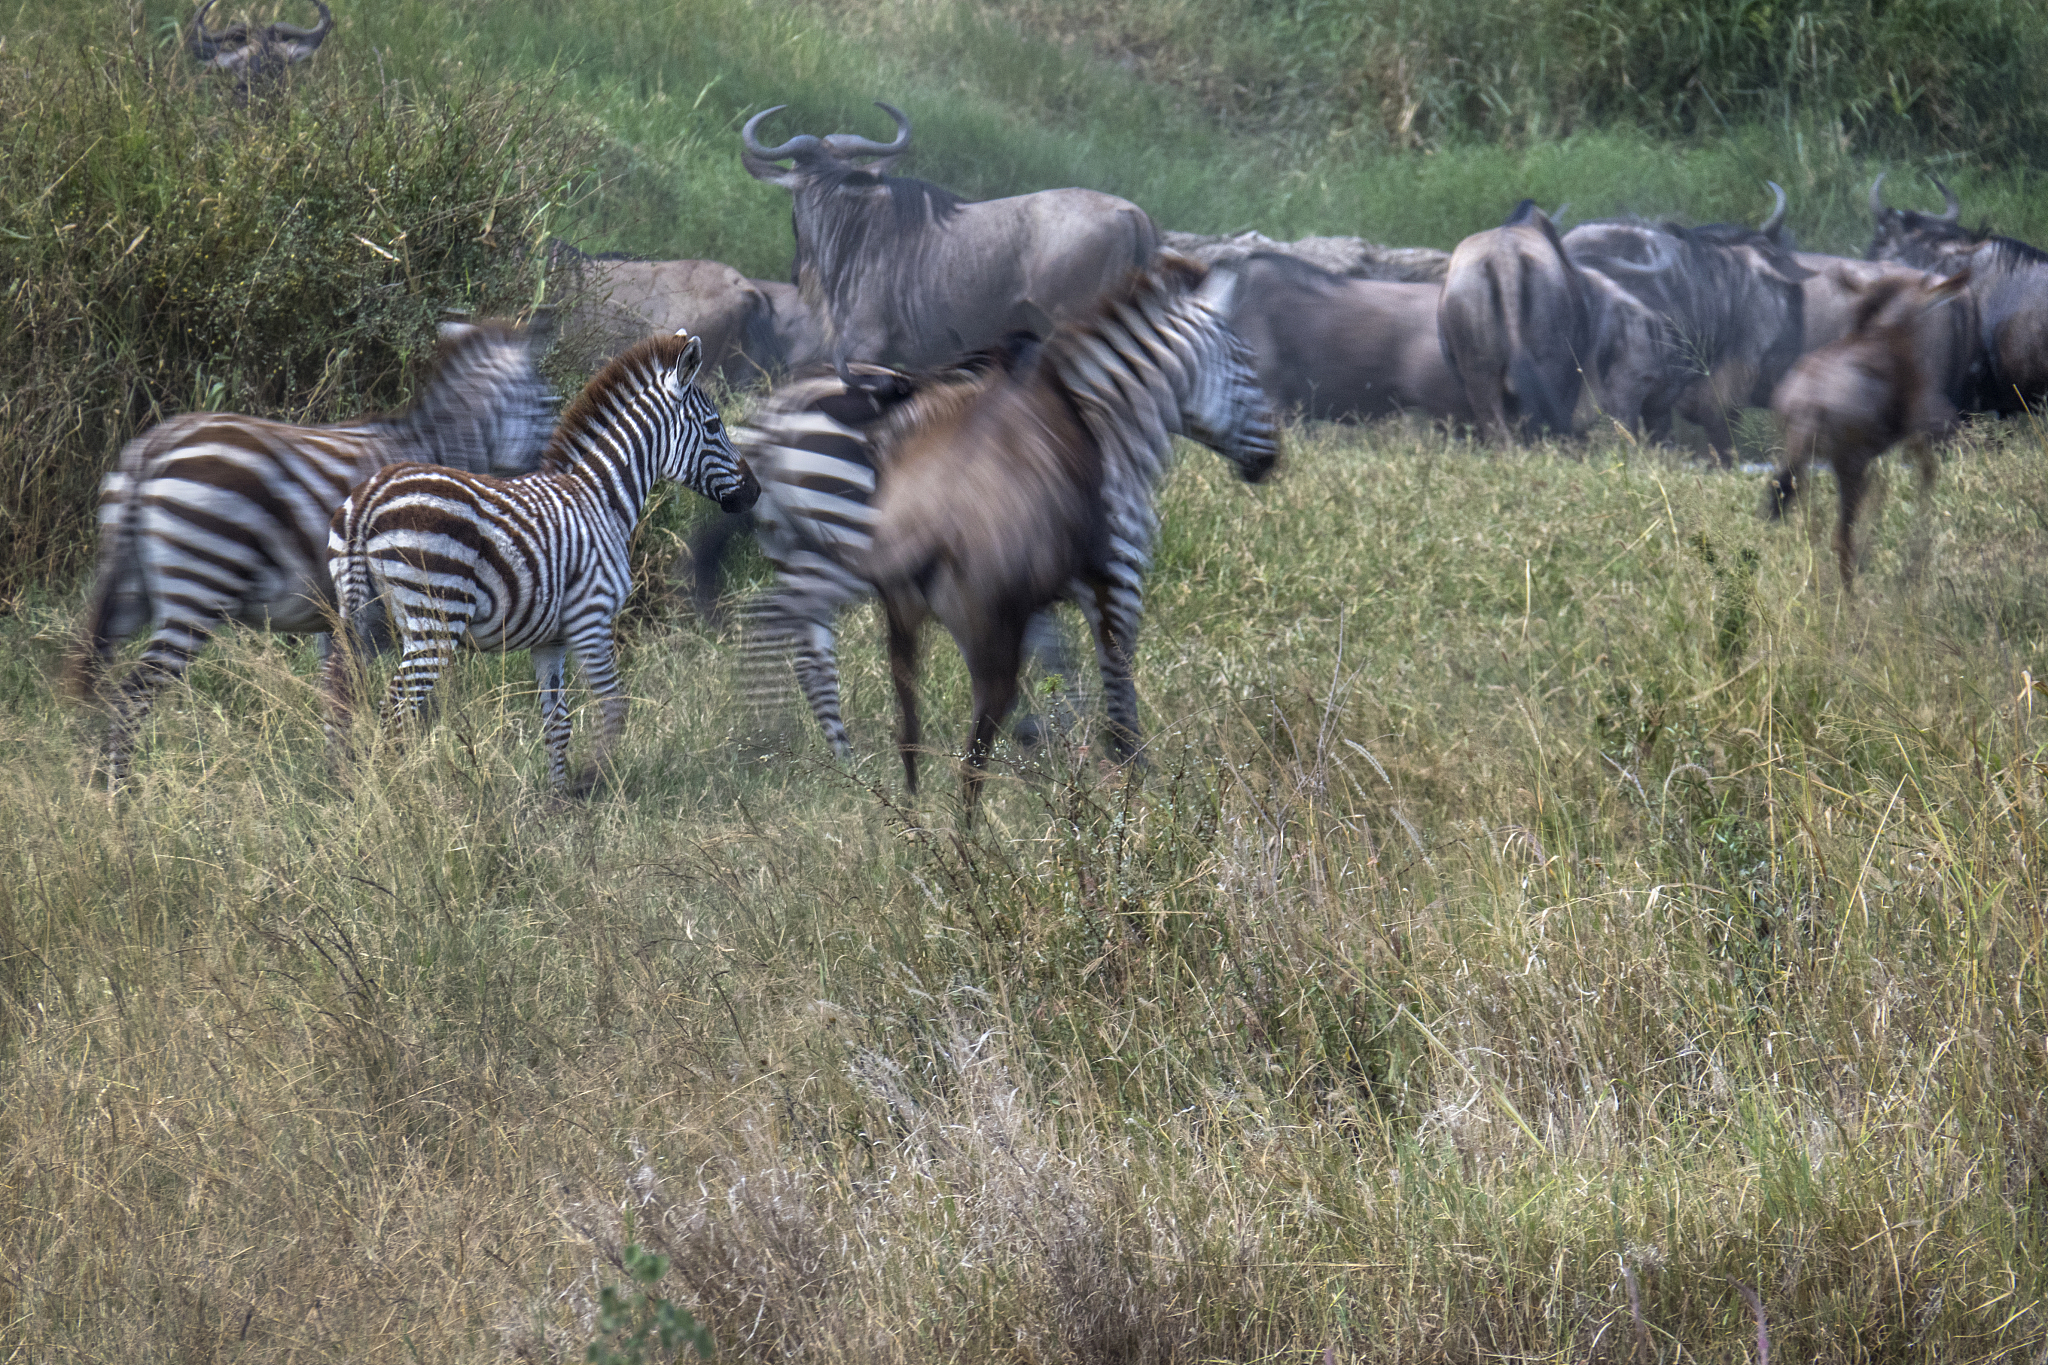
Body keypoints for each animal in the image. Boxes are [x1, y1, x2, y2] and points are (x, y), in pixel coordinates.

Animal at [72, 317, 560, 784]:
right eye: (549, 404)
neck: (439, 446)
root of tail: (152, 450)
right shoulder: (395, 616)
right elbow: (403, 704)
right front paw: (404, 776)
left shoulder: (338, 621)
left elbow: (337, 700)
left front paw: (339, 782)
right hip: (199, 587)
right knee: (133, 693)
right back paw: (121, 794)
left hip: (131, 593)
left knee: (100, 685)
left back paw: (94, 786)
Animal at [324, 331, 759, 794]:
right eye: (713, 426)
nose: (755, 492)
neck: (601, 498)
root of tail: (369, 497)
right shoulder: (591, 617)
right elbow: (614, 706)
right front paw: (592, 783)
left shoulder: (550, 641)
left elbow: (558, 723)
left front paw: (557, 798)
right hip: (432, 620)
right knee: (395, 711)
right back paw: (395, 792)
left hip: (363, 619)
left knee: (338, 699)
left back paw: (343, 787)